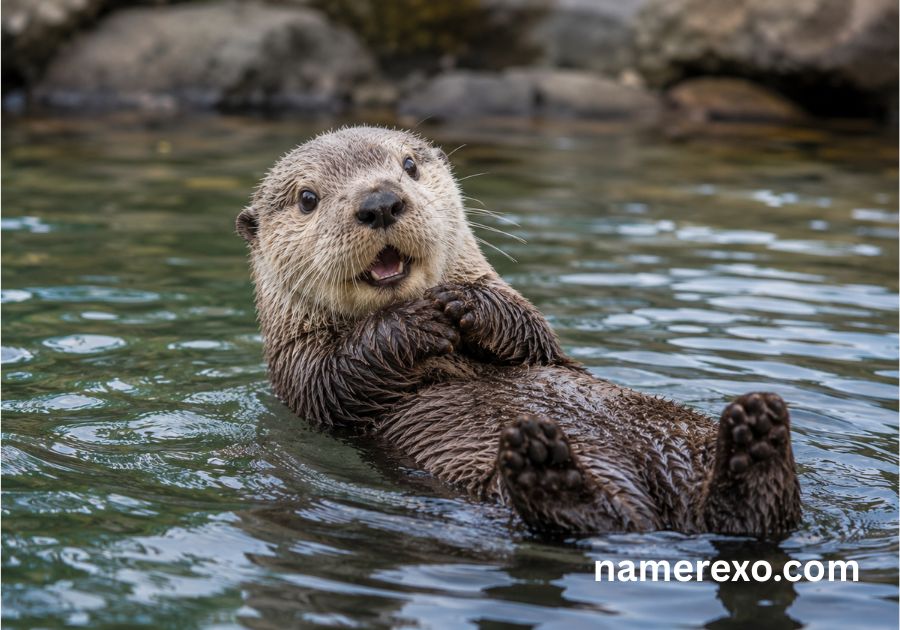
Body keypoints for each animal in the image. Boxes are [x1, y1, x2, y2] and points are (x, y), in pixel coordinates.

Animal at [236, 126, 801, 538]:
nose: (379, 201)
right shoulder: (297, 366)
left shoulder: (525, 319)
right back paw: (545, 468)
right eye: (308, 197)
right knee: (605, 519)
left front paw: (464, 305)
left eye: (409, 165)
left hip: (689, 437)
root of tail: (673, 514)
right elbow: (339, 376)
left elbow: (531, 333)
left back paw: (757, 435)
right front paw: (415, 322)